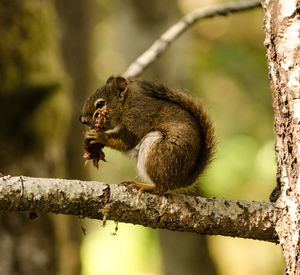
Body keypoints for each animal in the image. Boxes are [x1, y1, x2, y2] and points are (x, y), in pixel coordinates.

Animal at [79, 75, 216, 194]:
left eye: (100, 104)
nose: (82, 120)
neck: (126, 106)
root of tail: (181, 180)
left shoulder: (137, 119)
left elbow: (126, 141)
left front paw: (100, 136)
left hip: (159, 152)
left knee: (162, 187)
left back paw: (143, 186)